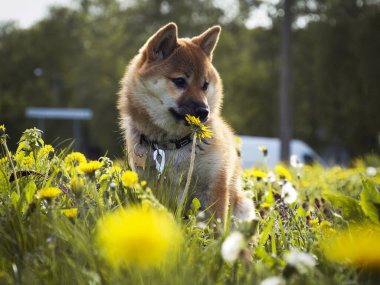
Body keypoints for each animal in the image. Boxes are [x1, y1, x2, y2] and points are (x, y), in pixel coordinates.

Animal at [119, 22, 255, 222]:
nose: (204, 111)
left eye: (205, 85)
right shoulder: (150, 184)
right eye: (180, 80)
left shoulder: (215, 185)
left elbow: (217, 225)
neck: (173, 144)